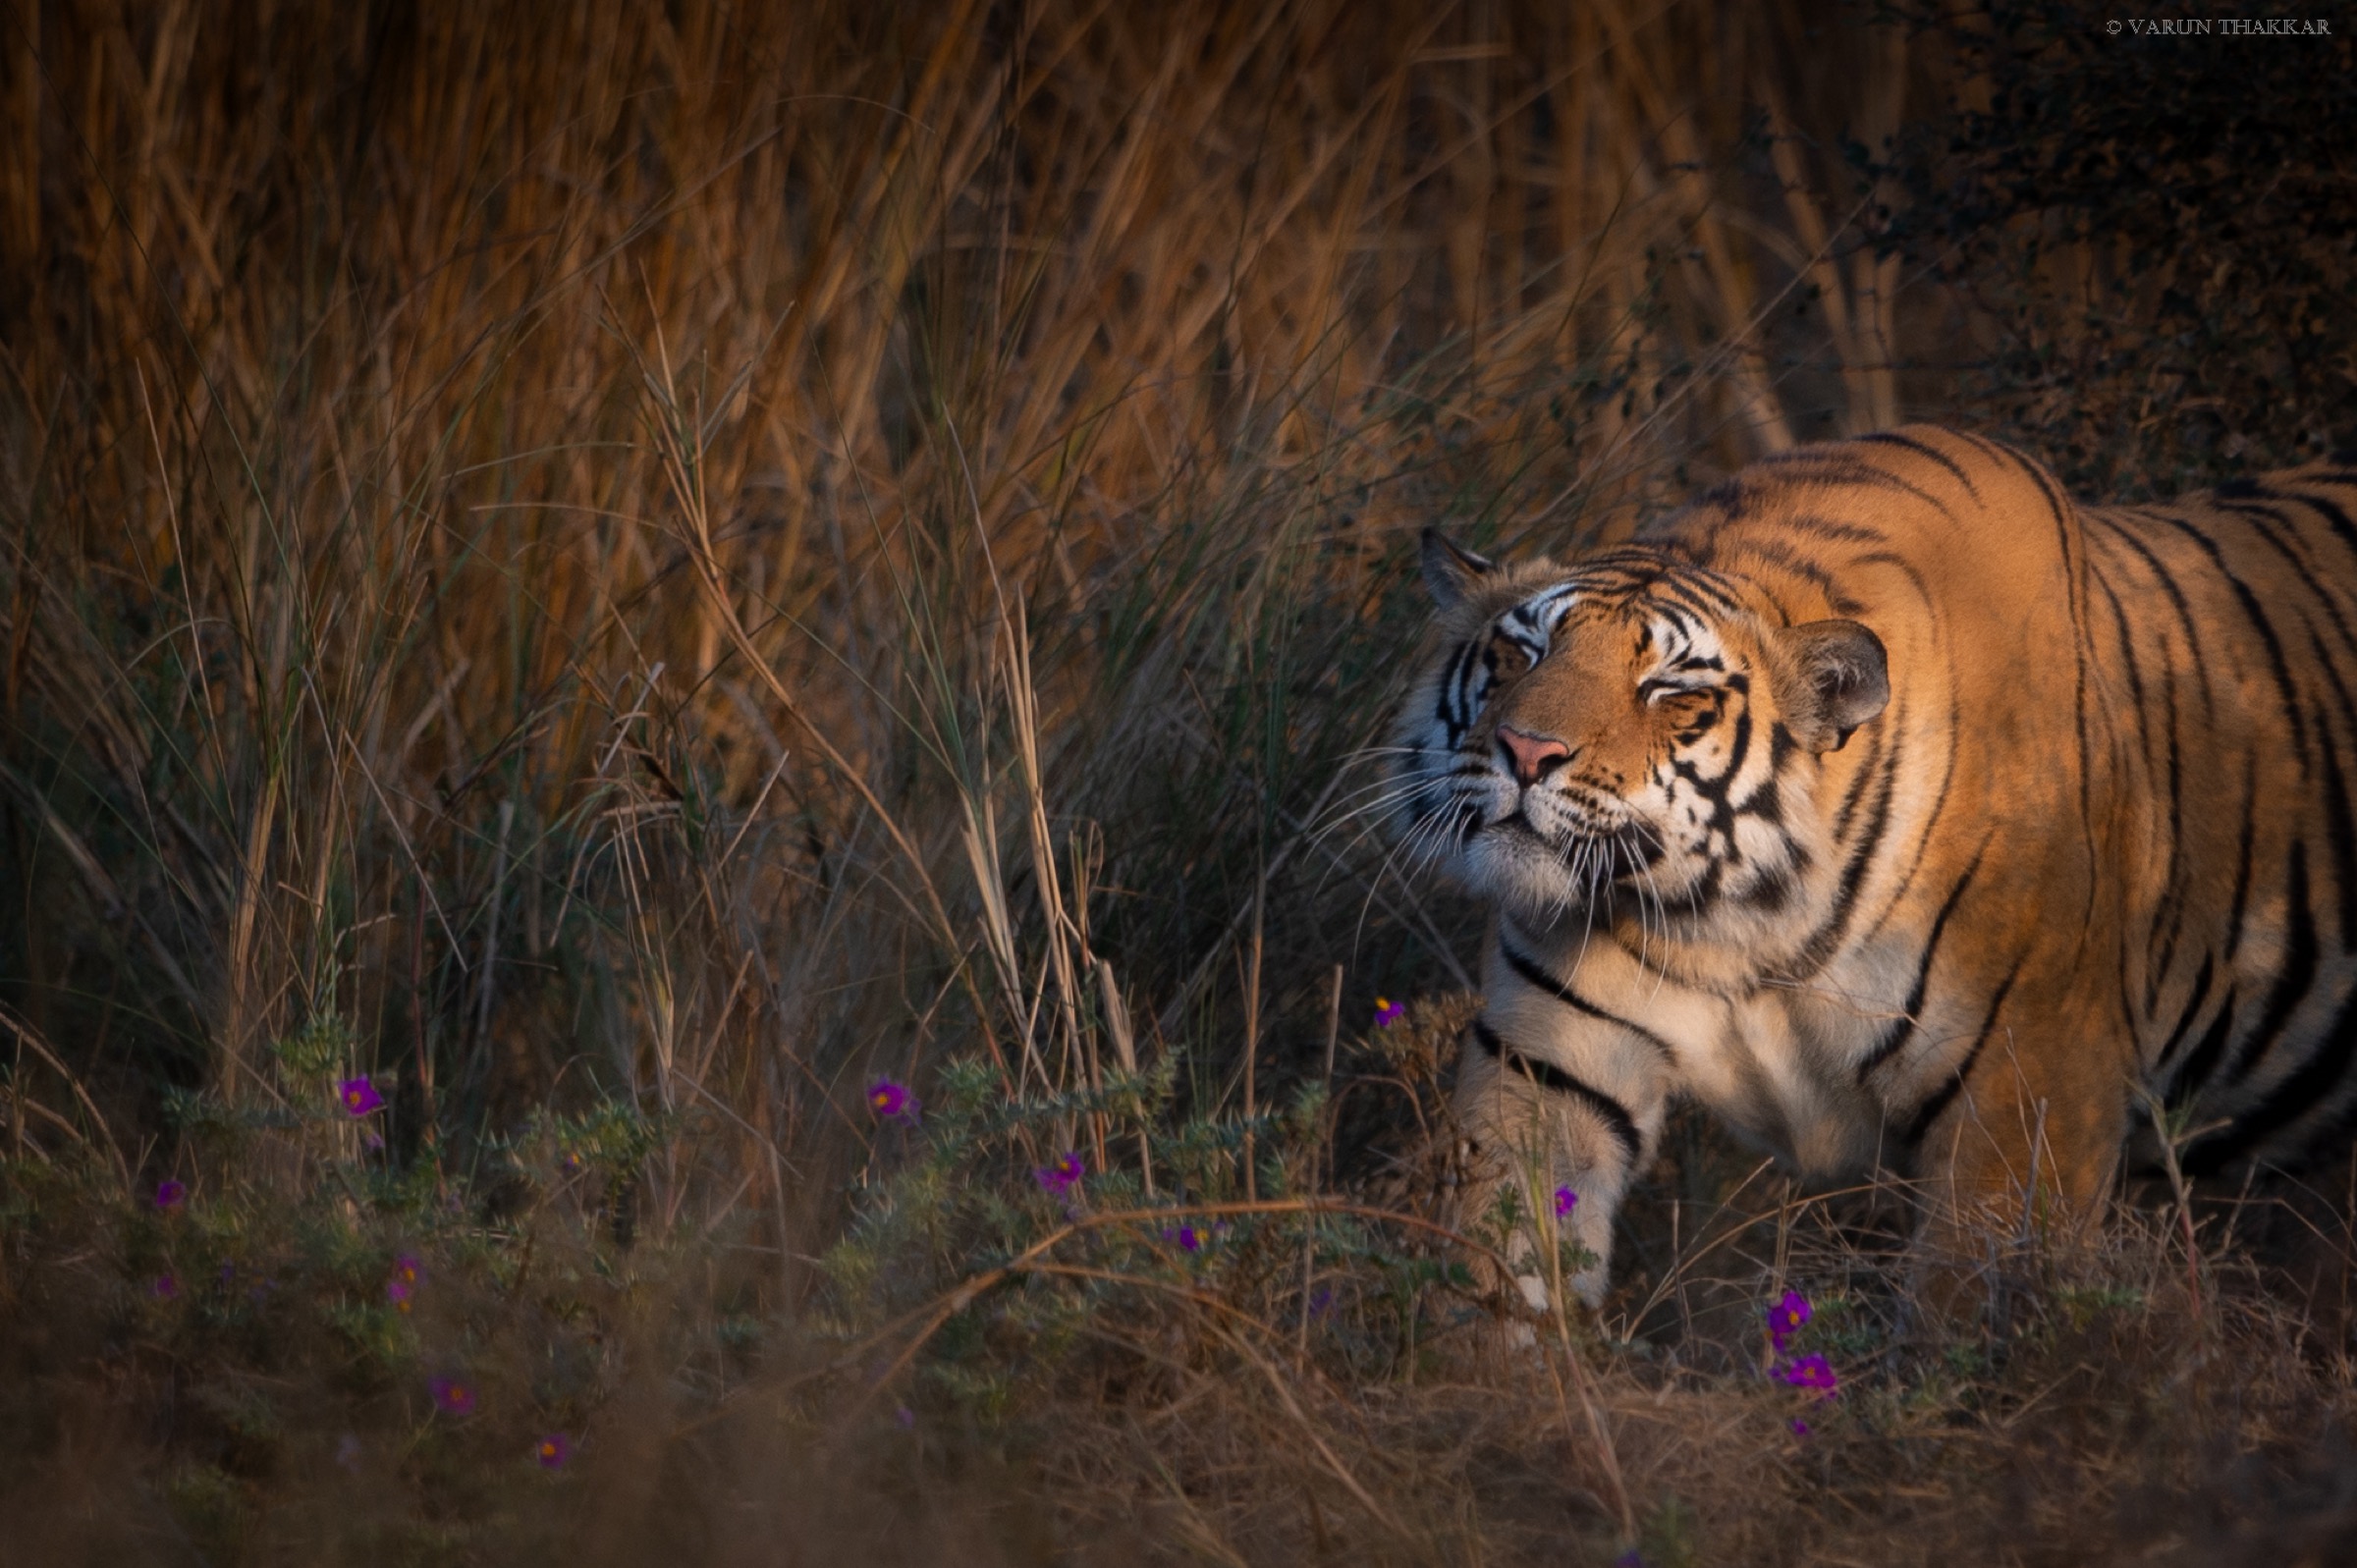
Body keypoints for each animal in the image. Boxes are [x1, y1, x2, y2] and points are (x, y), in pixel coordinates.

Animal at [1386, 424, 2357, 1309]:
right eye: (1521, 652)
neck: (1742, 926)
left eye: (1670, 691)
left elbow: (1969, 1327)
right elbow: (1495, 1271)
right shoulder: (1546, 1072)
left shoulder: (2026, 1102)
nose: (1526, 749)